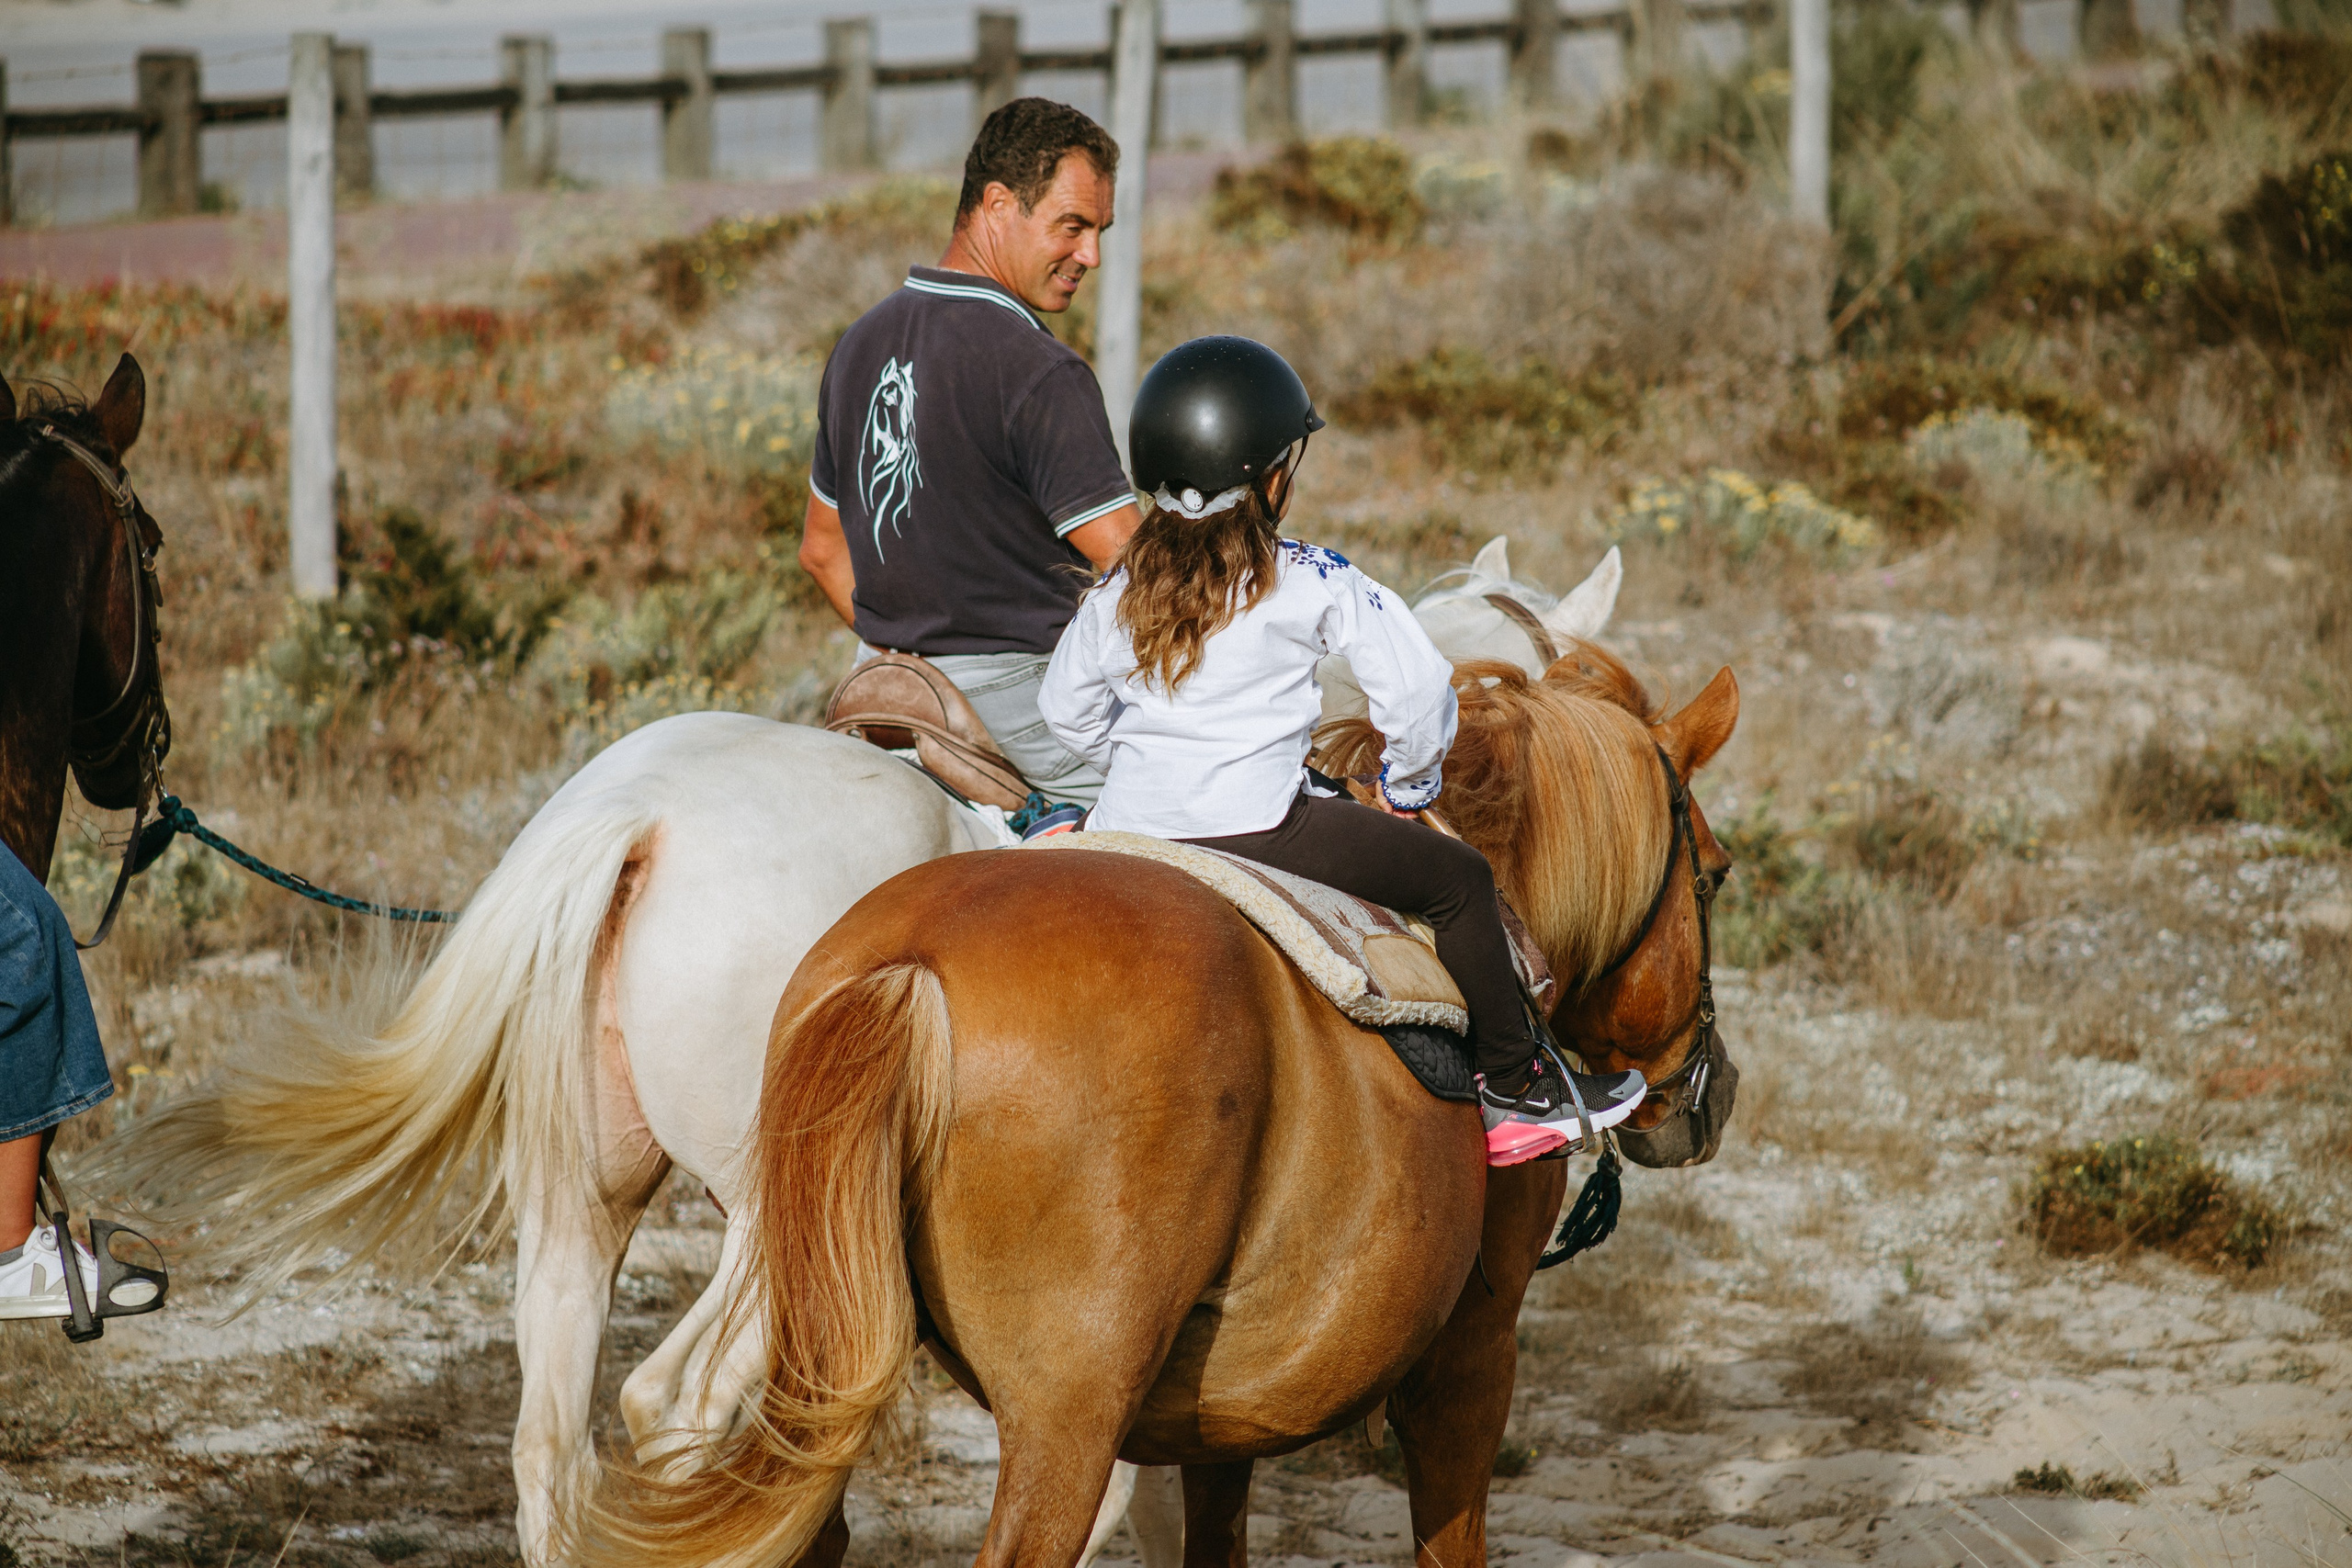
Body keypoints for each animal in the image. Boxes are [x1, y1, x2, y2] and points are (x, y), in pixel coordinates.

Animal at [564, 645, 1740, 1568]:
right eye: (1718, 874)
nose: (1709, 1095)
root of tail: (911, 970)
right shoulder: (1469, 1355)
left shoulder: (1226, 1409)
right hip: (1059, 1408)